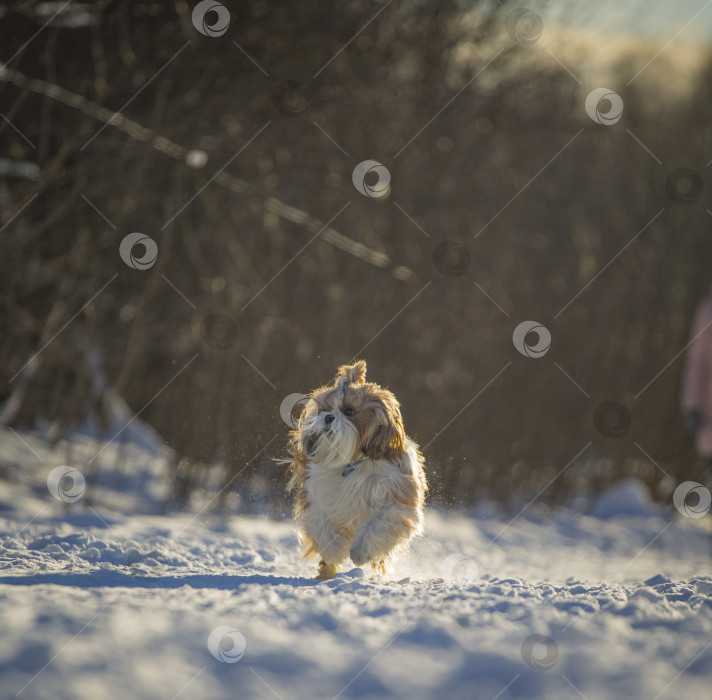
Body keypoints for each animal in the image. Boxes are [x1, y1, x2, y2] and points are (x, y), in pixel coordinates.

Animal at [286, 360, 426, 580]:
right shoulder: (318, 497)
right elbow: (324, 525)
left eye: (349, 411)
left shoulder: (398, 503)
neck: (351, 463)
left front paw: (360, 552)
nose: (328, 417)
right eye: (323, 409)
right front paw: (334, 551)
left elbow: (377, 524)